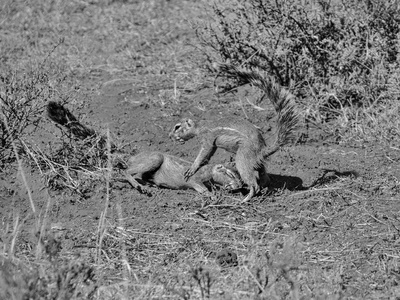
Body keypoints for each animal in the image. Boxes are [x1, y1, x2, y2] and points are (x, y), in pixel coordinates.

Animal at [46, 99, 241, 196]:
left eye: (239, 175)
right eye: (230, 174)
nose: (240, 185)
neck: (208, 171)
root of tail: (132, 156)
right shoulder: (195, 179)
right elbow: (197, 184)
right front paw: (210, 194)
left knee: (136, 175)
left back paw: (149, 184)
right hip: (155, 158)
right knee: (125, 172)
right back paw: (141, 187)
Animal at [170, 64, 300, 203]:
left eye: (177, 127)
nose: (170, 136)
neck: (200, 126)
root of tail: (263, 150)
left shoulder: (208, 139)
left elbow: (203, 152)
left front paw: (192, 168)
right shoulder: (213, 145)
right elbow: (208, 155)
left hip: (243, 158)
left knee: (254, 184)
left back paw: (245, 198)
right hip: (256, 163)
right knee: (263, 176)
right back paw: (264, 189)